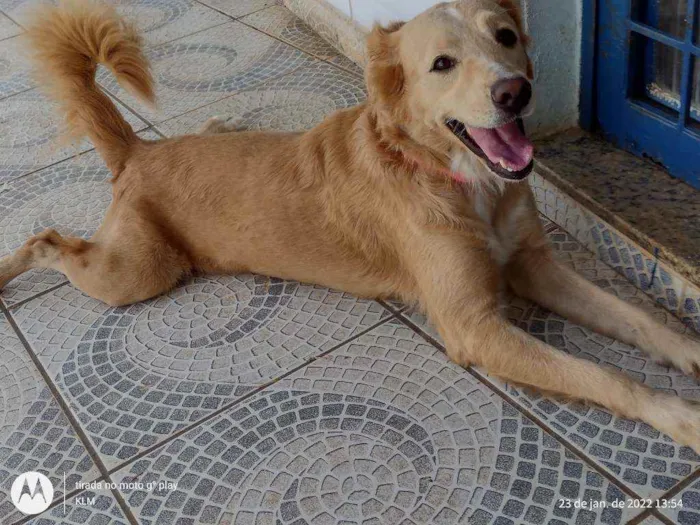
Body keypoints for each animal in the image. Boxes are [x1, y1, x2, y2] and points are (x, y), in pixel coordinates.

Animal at [4, 1, 700, 450]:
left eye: (505, 36)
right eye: (442, 64)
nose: (515, 92)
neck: (458, 181)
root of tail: (137, 153)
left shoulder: (536, 266)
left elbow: (640, 321)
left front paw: (689, 350)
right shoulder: (474, 327)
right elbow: (604, 375)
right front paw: (680, 416)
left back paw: (218, 123)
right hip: (137, 273)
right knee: (47, 241)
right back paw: (13, 266)